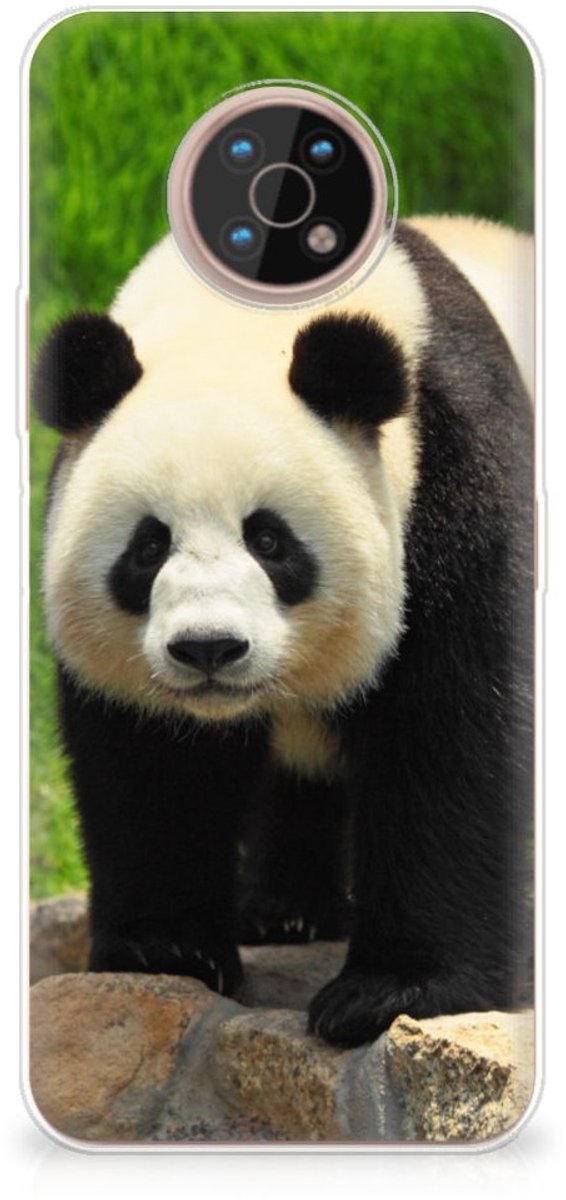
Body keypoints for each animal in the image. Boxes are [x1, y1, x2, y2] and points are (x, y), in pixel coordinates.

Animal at [33, 217, 534, 1048]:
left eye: (270, 540)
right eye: (148, 546)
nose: (208, 649)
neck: (244, 314)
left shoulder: (455, 473)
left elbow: (453, 730)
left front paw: (392, 990)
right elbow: (151, 761)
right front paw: (166, 948)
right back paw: (287, 911)